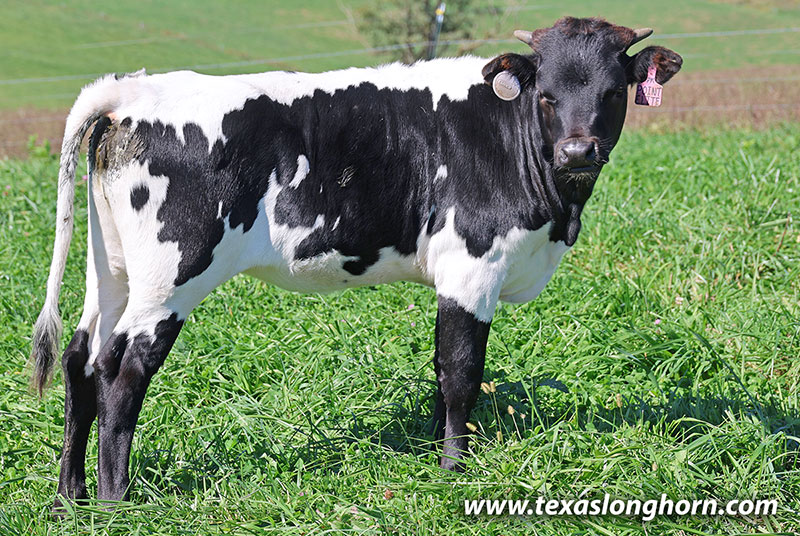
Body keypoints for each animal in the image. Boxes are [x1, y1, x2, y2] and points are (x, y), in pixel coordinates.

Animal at [30, 17, 681, 507]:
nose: (578, 150)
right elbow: (462, 373)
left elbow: (439, 370)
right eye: (546, 94)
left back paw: (70, 496)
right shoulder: (472, 267)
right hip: (172, 275)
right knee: (122, 368)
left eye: (613, 93)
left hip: (112, 267)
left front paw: (435, 456)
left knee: (81, 357)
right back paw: (116, 501)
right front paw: (455, 471)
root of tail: (132, 90)